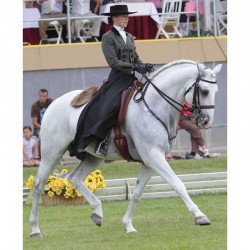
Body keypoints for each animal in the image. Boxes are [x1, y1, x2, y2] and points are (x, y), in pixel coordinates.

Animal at [29, 60, 223, 236]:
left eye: (215, 91)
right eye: (204, 91)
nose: (206, 122)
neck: (155, 106)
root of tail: (52, 105)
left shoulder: (149, 161)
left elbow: (137, 193)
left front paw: (128, 225)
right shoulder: (154, 156)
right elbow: (178, 184)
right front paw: (200, 216)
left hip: (93, 157)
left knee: (74, 178)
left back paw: (97, 213)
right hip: (52, 153)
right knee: (39, 184)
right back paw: (35, 229)